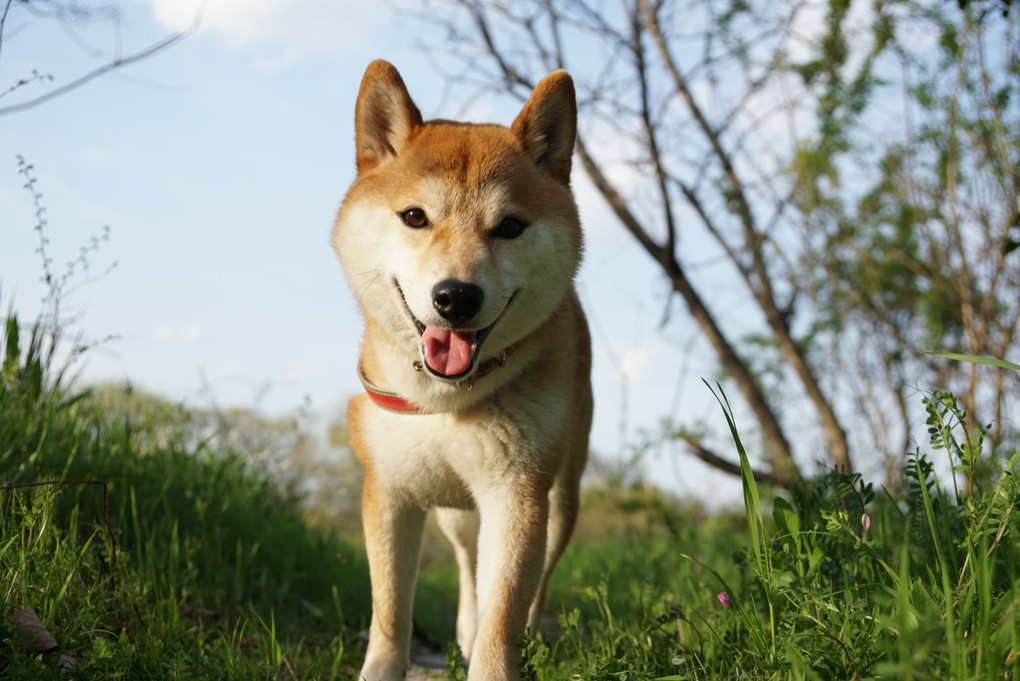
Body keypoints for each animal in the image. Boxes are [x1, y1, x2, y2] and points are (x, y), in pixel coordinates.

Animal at [332, 59, 591, 681]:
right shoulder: (390, 492)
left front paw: (498, 653)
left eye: (510, 226)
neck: (443, 400)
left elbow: (505, 613)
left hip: (561, 497)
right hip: (455, 510)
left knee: (533, 587)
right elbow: (390, 612)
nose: (455, 296)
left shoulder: (517, 493)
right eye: (415, 217)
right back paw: (465, 630)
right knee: (468, 567)